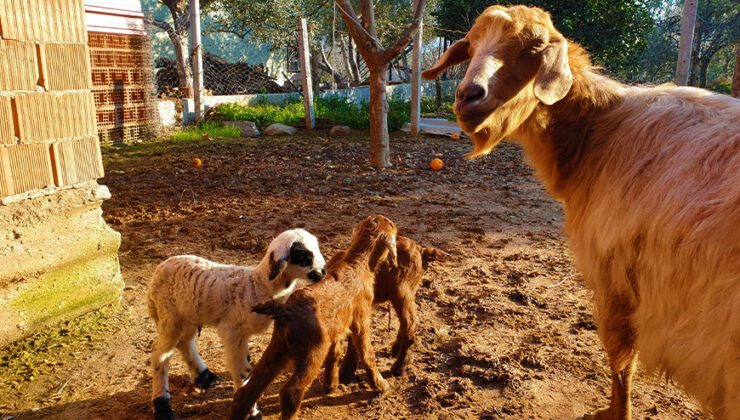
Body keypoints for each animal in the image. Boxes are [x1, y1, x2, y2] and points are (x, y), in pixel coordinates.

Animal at [147, 230, 326, 420]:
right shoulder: (233, 332)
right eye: (303, 255)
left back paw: (204, 377)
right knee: (160, 354)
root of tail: (159, 269)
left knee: (185, 342)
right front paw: (251, 412)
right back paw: (162, 406)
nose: (324, 271)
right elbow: (242, 371)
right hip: (169, 315)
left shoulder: (243, 334)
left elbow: (247, 369)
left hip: (189, 314)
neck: (258, 285)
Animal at [422, 4, 740, 420]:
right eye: (471, 45)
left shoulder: (614, 280)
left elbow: (621, 361)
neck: (600, 130)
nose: (467, 96)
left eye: (534, 47)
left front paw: (614, 412)